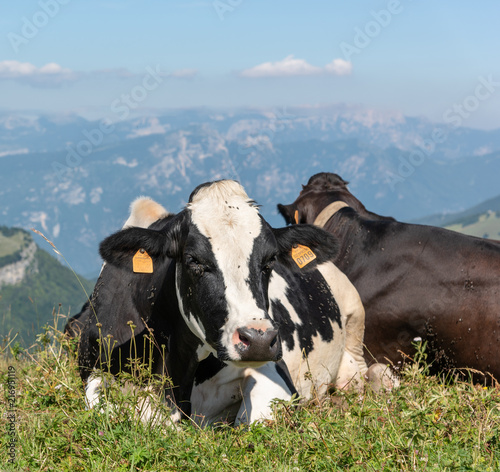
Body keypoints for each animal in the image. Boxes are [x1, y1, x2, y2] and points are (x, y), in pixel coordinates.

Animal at [73, 181, 386, 424]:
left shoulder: (275, 373)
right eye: (193, 260)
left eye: (269, 260)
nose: (258, 340)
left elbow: (255, 419)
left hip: (354, 328)